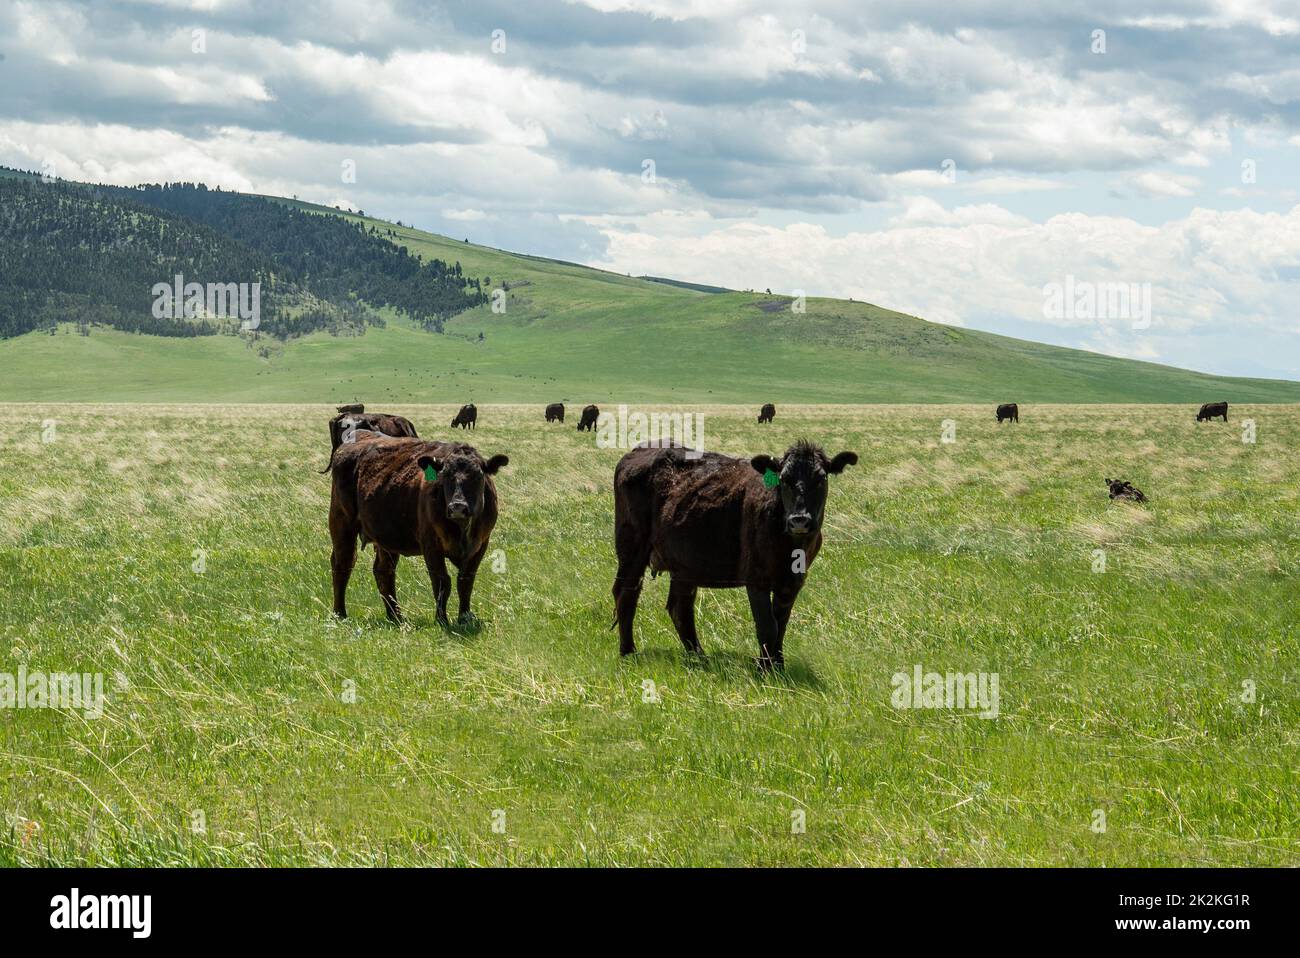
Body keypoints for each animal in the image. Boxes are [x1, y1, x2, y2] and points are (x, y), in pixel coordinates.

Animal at [325, 434, 506, 629]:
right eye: (444, 476)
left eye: (478, 476)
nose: (458, 506)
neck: (461, 530)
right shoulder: (431, 545)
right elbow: (442, 582)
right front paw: (442, 620)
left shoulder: (481, 544)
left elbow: (465, 581)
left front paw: (464, 617)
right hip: (341, 524)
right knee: (342, 564)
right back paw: (340, 613)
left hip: (386, 538)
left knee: (383, 571)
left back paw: (396, 616)